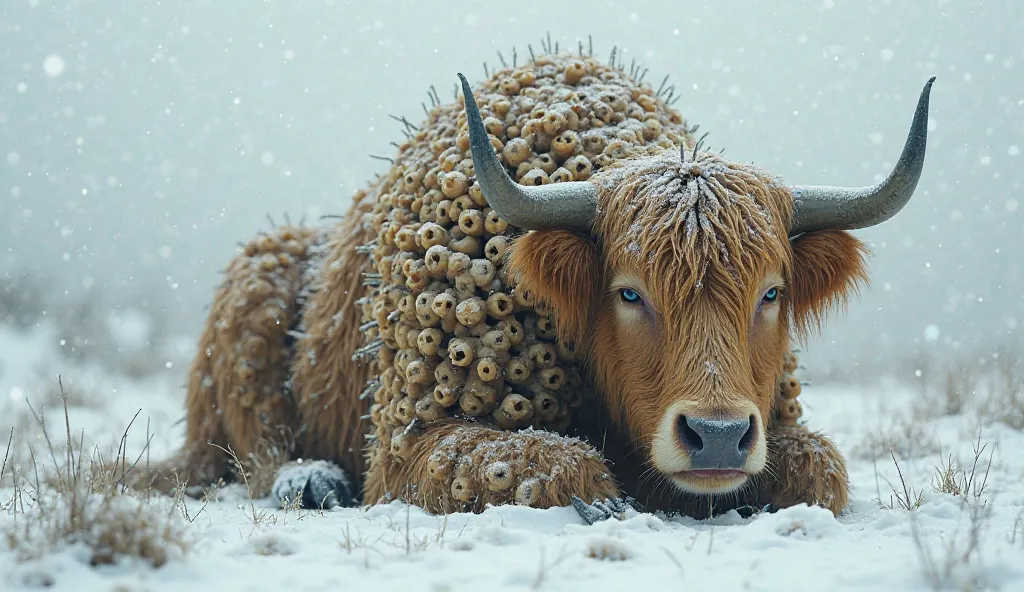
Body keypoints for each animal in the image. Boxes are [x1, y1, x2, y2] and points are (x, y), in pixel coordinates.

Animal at [138, 47, 937, 520]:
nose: (716, 437)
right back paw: (311, 481)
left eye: (771, 292)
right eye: (629, 292)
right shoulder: (405, 449)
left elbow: (818, 468)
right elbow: (546, 460)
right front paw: (602, 497)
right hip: (251, 309)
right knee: (253, 448)